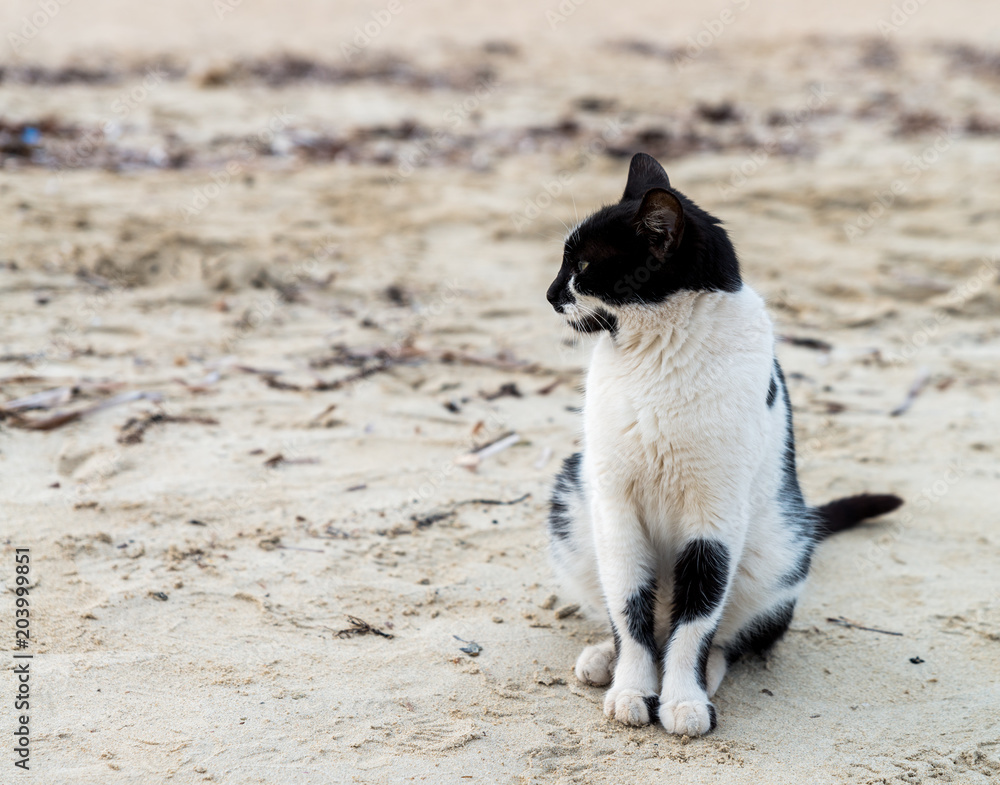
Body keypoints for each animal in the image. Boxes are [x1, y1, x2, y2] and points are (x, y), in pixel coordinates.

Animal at [548, 152, 908, 736]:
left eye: (581, 267)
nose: (551, 294)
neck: (656, 351)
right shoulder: (615, 506)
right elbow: (628, 606)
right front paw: (632, 687)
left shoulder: (714, 516)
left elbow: (696, 620)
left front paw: (682, 700)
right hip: (575, 510)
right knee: (632, 612)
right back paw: (604, 658)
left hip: (779, 552)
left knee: (731, 634)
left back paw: (707, 672)